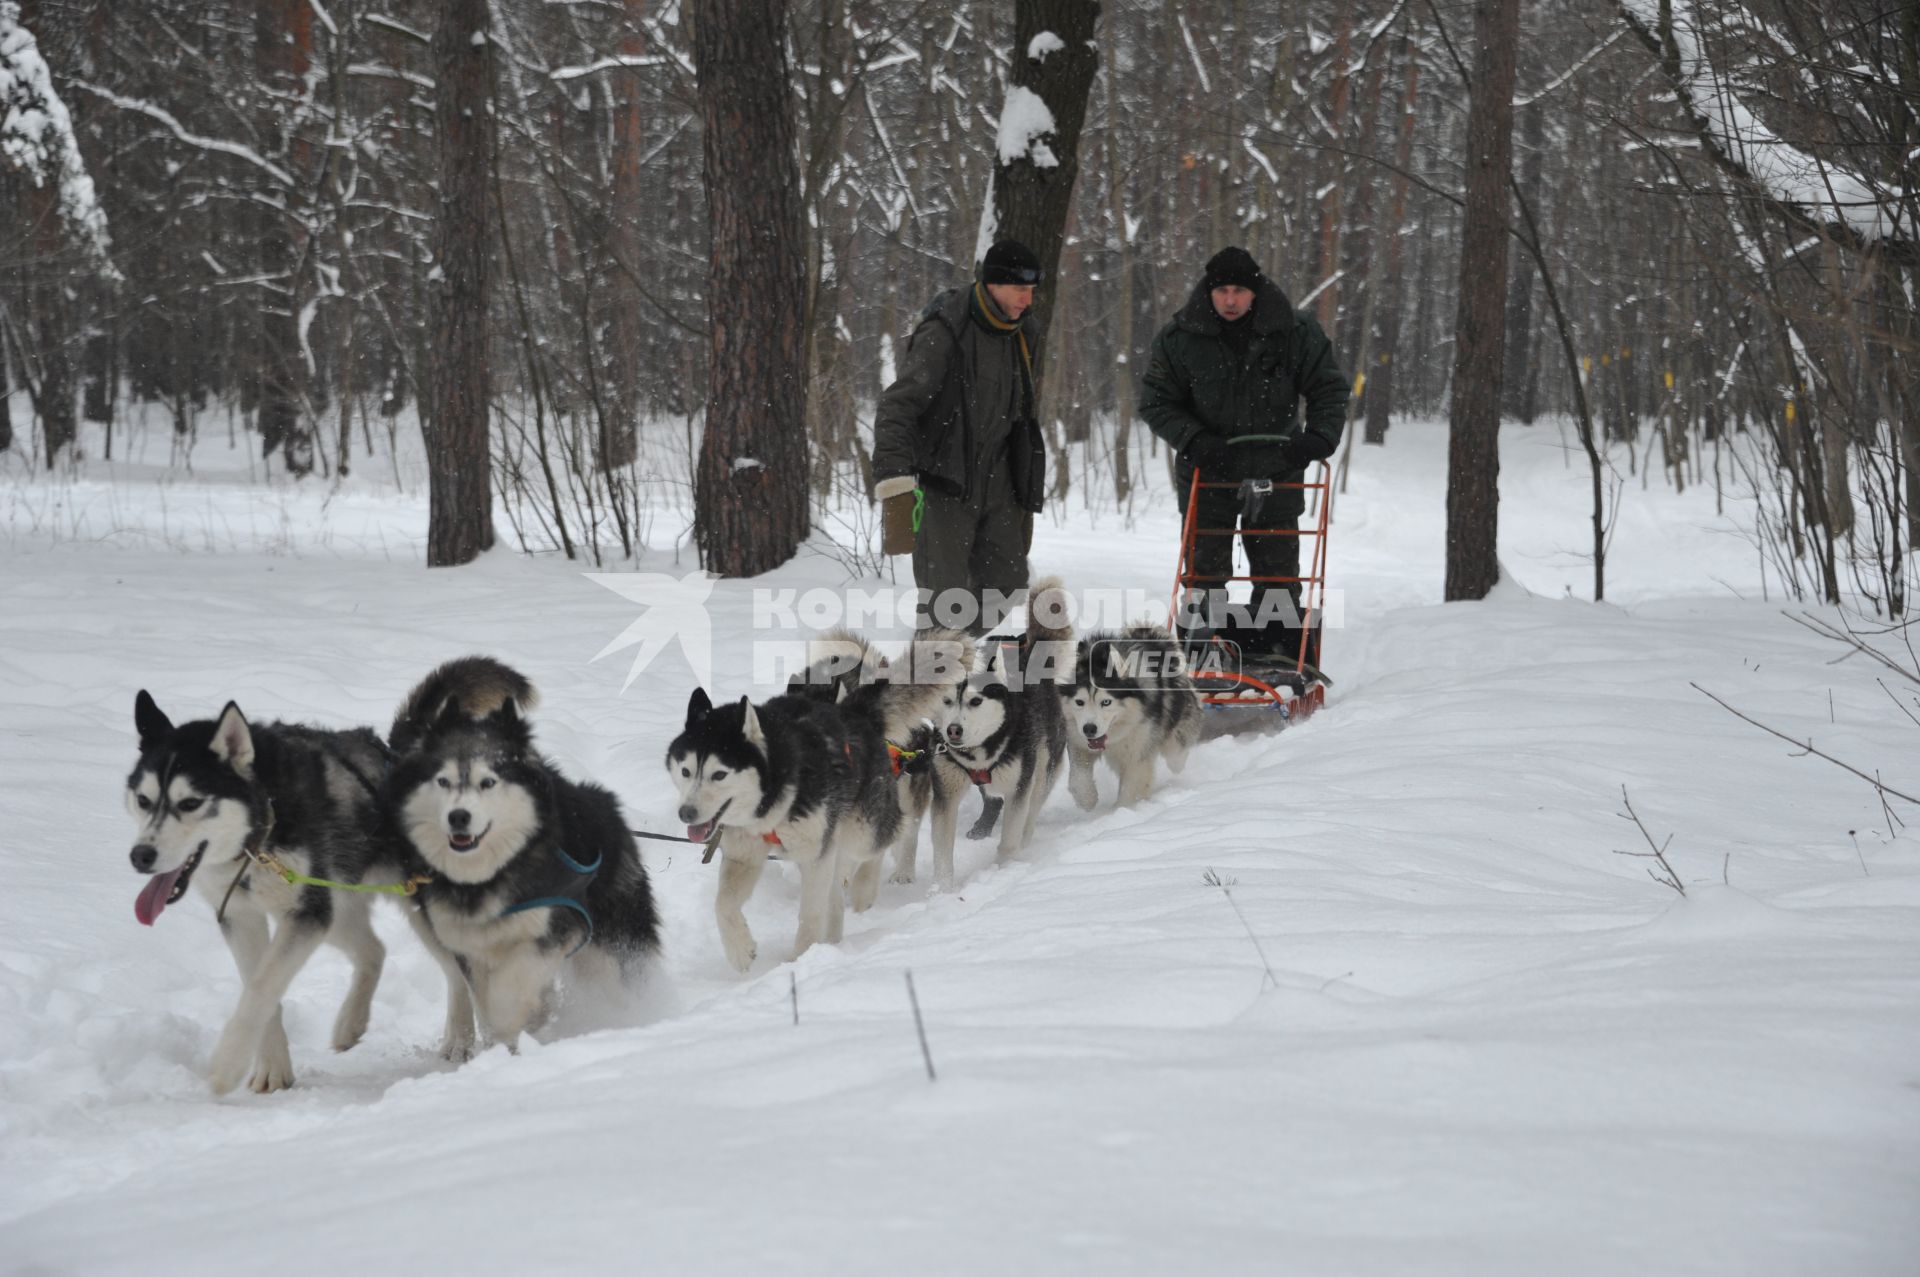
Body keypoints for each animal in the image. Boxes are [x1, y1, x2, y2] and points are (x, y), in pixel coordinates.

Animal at [122, 691, 405, 1090]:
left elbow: (261, 987)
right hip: (337, 911)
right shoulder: (240, 915)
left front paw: (227, 1065)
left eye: (190, 803)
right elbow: (257, 984)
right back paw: (351, 1022)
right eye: (143, 800)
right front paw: (272, 1067)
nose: (140, 856)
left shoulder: (304, 915)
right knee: (375, 950)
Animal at [387, 656, 660, 1052]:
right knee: (455, 980)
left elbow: (511, 991)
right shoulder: (466, 943)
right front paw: (505, 1039)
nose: (458, 817)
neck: (493, 872)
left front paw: (518, 1028)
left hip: (611, 941)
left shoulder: (556, 927)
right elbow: (482, 996)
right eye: (443, 781)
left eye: (488, 782)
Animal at [921, 576, 1075, 887]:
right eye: (947, 701)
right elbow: (942, 854)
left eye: (975, 701)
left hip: (1042, 771)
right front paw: (942, 890)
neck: (979, 752)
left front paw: (1004, 869)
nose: (953, 731)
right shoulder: (945, 793)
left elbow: (1010, 837)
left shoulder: (1019, 787)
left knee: (1031, 811)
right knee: (992, 800)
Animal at [1067, 626, 1198, 806]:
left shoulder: (1138, 749)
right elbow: (1078, 777)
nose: (1089, 729)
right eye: (1080, 702)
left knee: (1176, 754)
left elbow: (1131, 786)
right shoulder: (1078, 741)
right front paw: (1087, 798)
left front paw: (1122, 810)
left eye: (1106, 702)